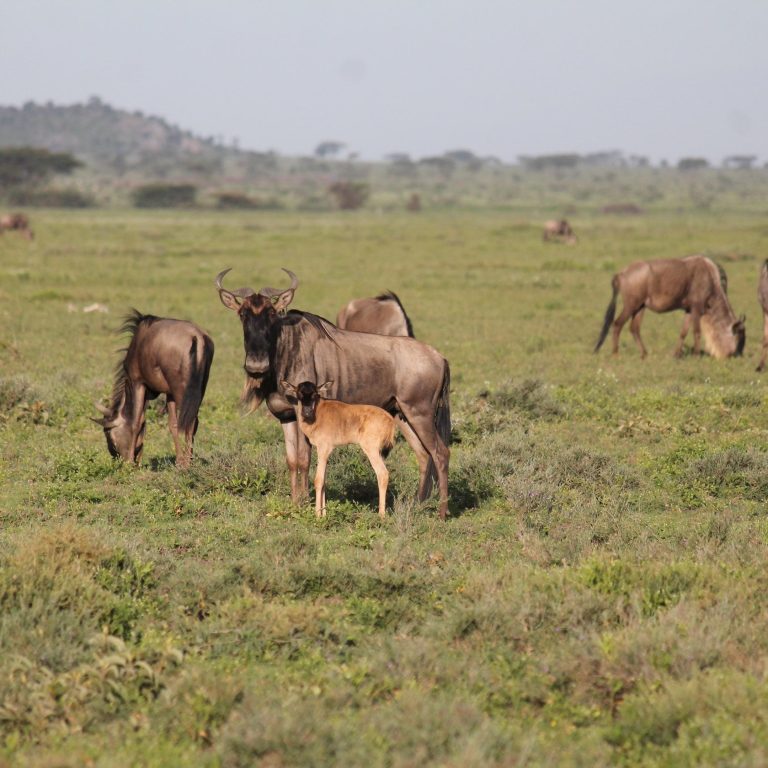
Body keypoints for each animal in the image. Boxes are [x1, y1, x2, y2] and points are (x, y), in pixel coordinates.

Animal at [94, 311, 214, 468]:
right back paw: (189, 460)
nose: (117, 460)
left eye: (109, 436)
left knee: (190, 421)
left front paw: (129, 463)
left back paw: (188, 463)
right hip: (198, 389)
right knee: (193, 421)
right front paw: (178, 461)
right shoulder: (169, 393)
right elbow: (172, 424)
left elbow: (136, 421)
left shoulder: (138, 383)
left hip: (182, 391)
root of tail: (197, 337)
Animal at [281, 380, 396, 519]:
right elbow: (324, 481)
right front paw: (324, 514)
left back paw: (381, 516)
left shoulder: (323, 449)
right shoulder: (327, 452)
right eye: (299, 394)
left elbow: (318, 480)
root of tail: (390, 420)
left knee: (382, 474)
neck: (319, 412)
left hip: (371, 450)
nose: (307, 413)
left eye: (315, 394)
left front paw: (317, 515)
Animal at [594, 255, 745, 359]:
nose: (736, 355)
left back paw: (644, 354)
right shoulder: (696, 308)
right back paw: (616, 354)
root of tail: (621, 274)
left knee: (634, 328)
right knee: (617, 324)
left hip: (640, 307)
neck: (710, 280)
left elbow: (683, 332)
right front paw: (696, 355)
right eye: (739, 337)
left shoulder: (689, 310)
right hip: (631, 305)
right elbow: (696, 332)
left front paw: (676, 354)